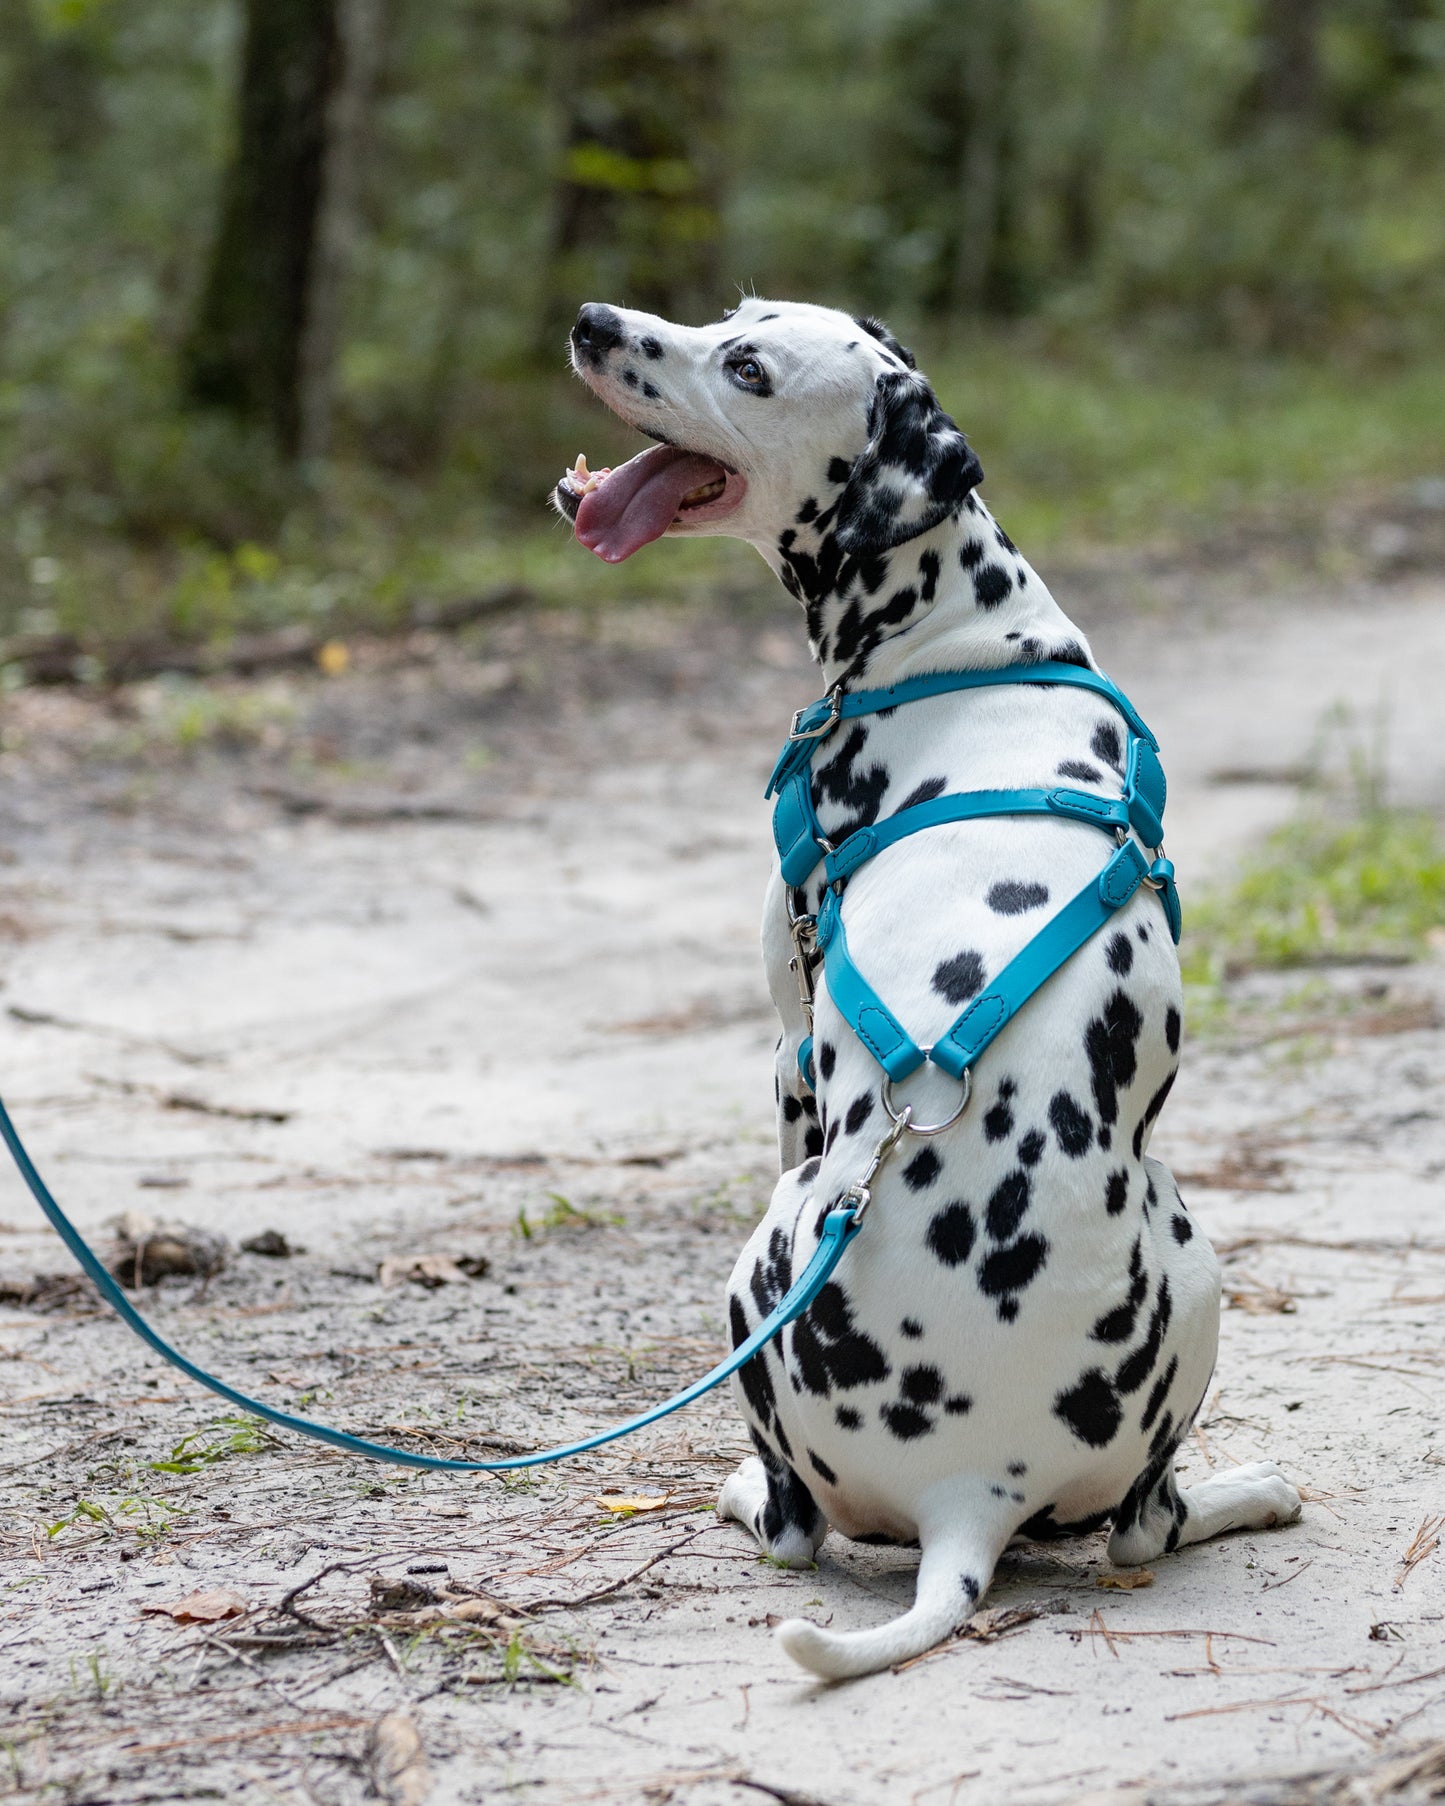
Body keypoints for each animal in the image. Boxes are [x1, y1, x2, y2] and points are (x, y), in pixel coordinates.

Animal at [549, 299, 1300, 1675]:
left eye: (746, 366)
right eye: (729, 313)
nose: (592, 320)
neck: (952, 645)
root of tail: (973, 1493)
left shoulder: (790, 1050)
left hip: (771, 1259)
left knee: (862, 1530)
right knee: (1131, 1521)